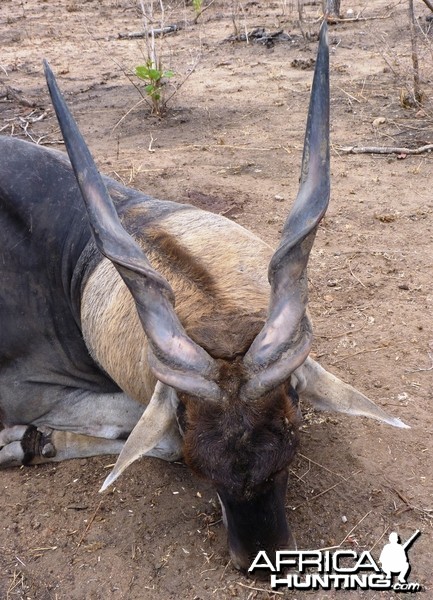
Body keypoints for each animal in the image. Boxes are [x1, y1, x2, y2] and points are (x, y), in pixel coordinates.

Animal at [0, 25, 404, 572]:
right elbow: (157, 438)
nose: (260, 554)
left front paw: (32, 442)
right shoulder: (24, 390)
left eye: (292, 418)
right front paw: (28, 441)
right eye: (205, 472)